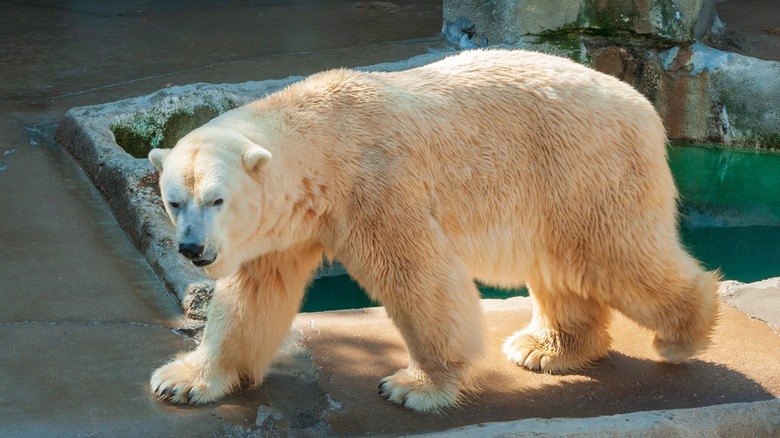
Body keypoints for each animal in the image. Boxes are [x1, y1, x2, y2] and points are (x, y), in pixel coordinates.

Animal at [146, 48, 720, 414]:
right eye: (174, 200)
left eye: (216, 199)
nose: (192, 249)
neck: (324, 142)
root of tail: (641, 101)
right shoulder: (286, 224)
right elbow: (252, 295)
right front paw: (183, 381)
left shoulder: (377, 187)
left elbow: (419, 277)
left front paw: (414, 387)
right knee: (562, 266)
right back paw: (546, 349)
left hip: (586, 165)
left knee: (617, 255)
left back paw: (682, 335)